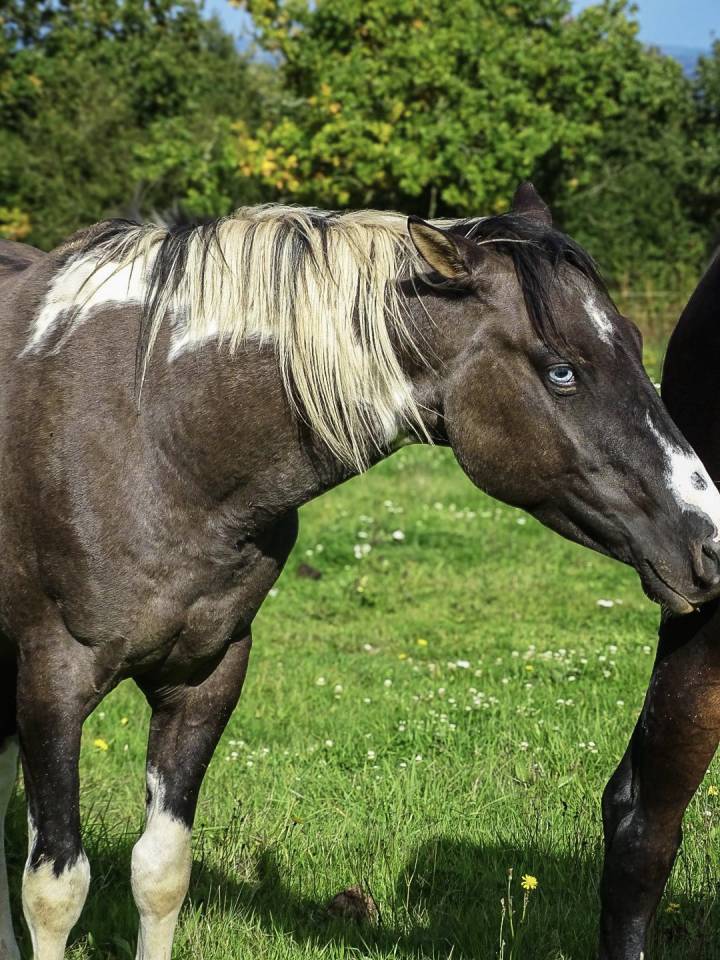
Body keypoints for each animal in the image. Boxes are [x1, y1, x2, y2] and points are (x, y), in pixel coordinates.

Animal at [2, 182, 720, 960]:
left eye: (638, 345)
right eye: (561, 370)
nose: (711, 541)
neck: (155, 436)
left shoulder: (203, 679)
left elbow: (160, 872)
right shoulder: (54, 683)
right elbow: (56, 889)